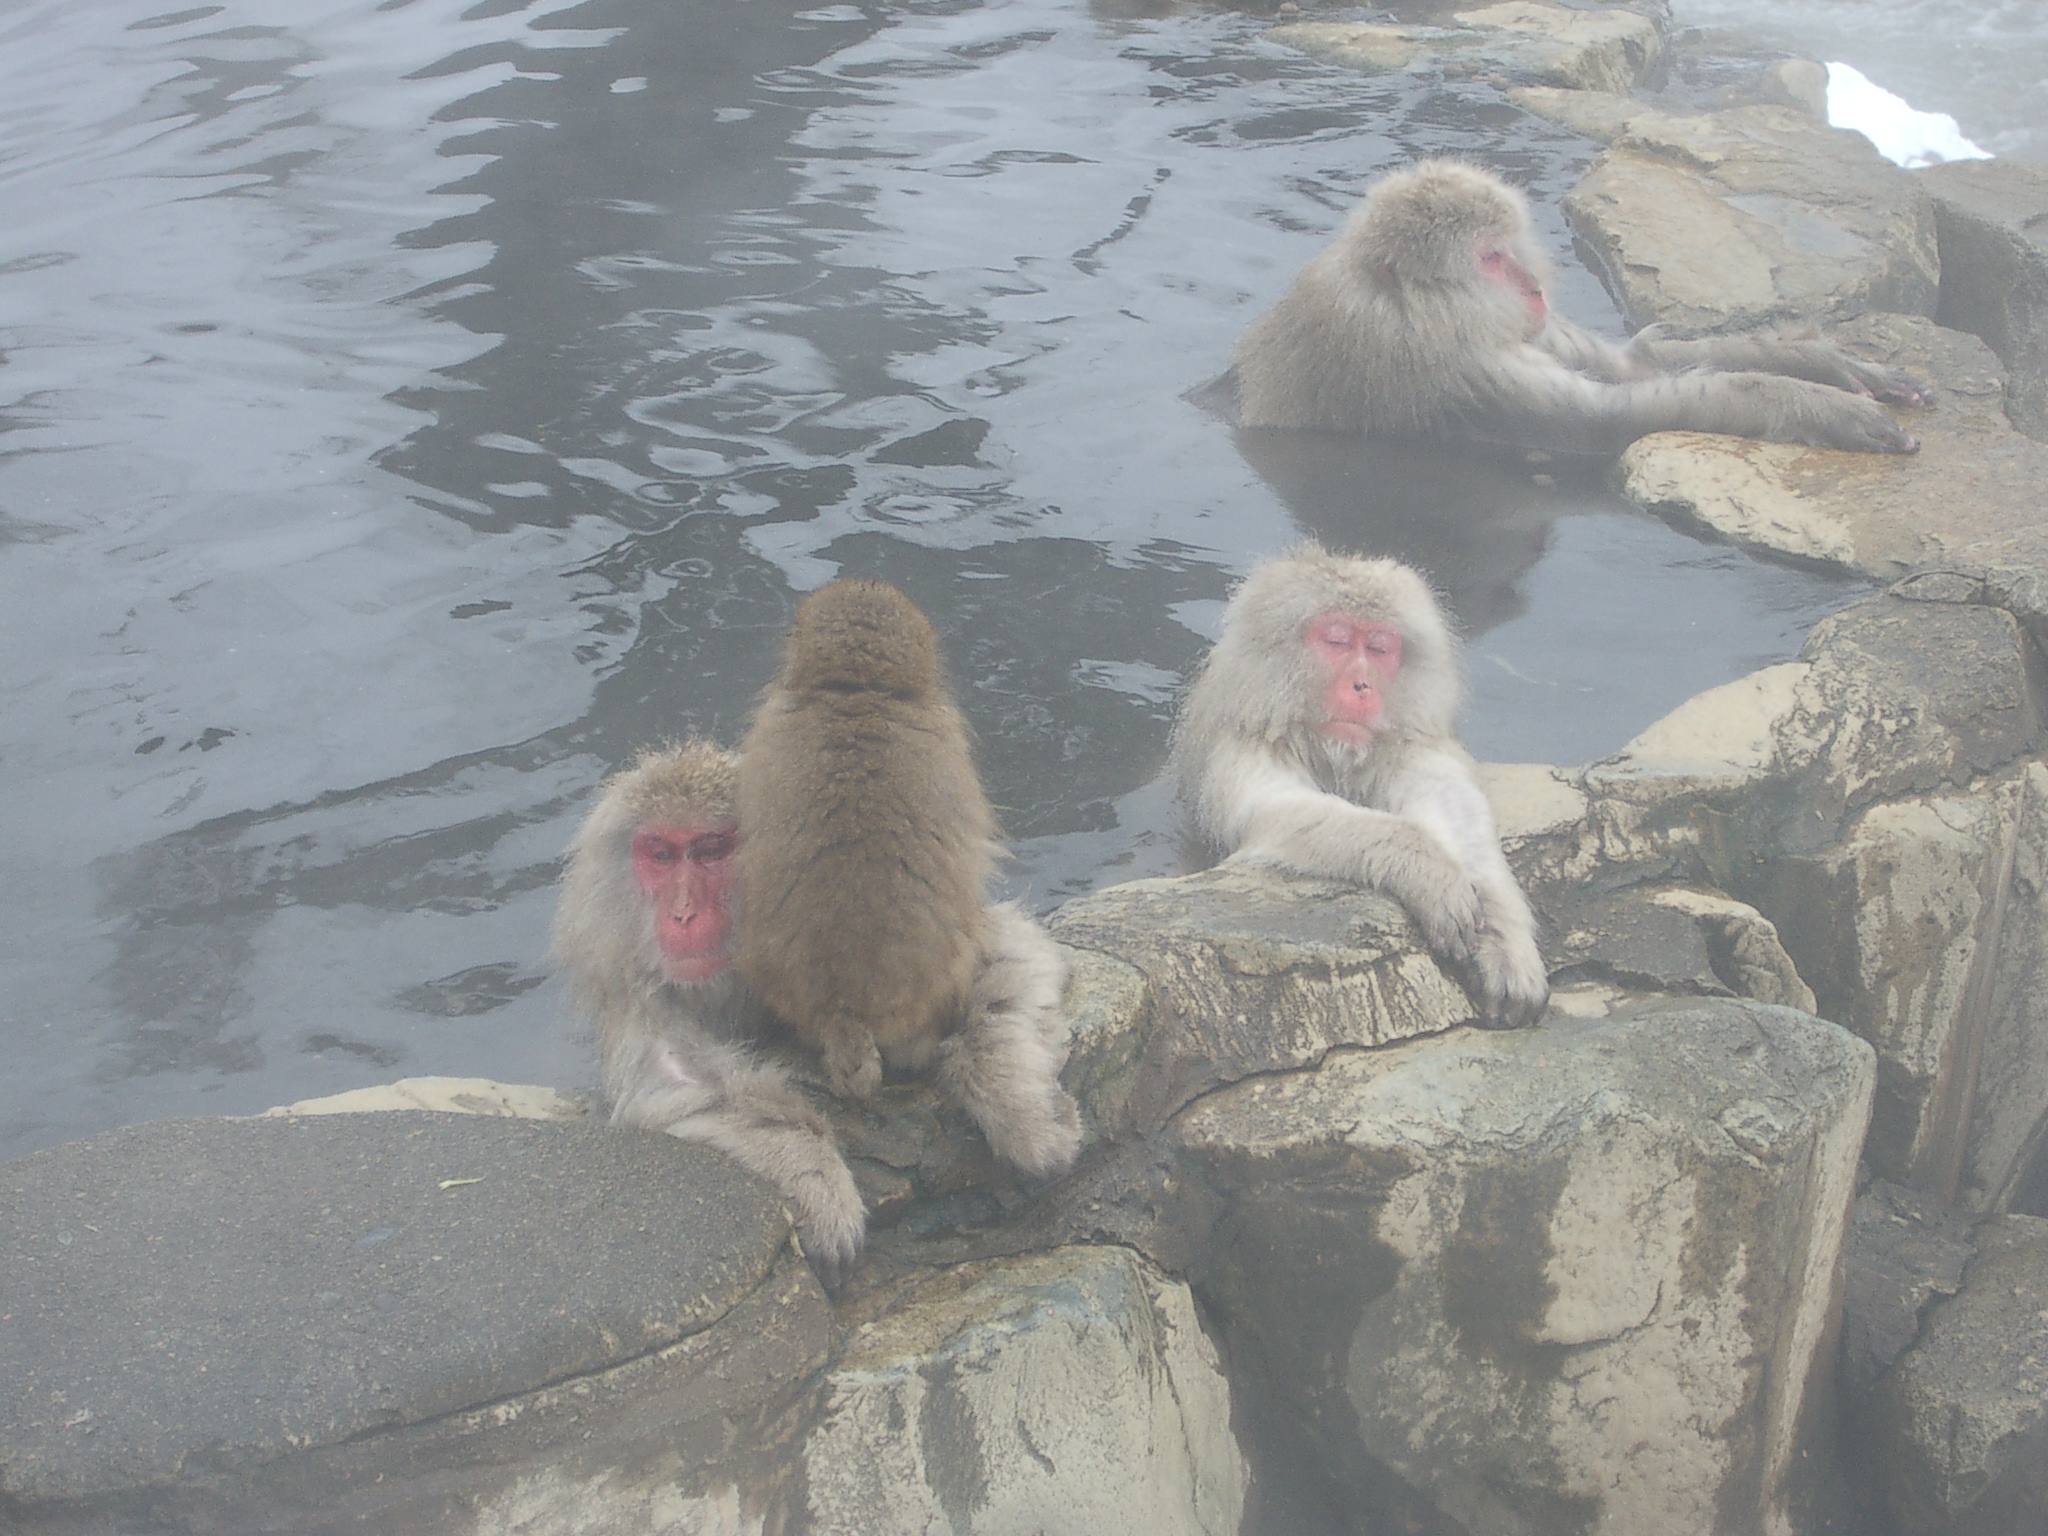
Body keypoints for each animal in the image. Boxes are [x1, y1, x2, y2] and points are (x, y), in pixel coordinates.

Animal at [552, 741, 1081, 1294]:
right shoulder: (645, 1002)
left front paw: (1021, 1107)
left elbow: (1000, 953)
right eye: (660, 855)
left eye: (710, 851)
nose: (681, 913)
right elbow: (667, 1091)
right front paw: (814, 1174)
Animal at [1228, 158, 1933, 456]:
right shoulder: (1451, 372)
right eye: (1489, 258)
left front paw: (1823, 363)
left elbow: (1635, 365)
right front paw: (1814, 405)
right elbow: (1612, 421)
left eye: (1509, 244)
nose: (1534, 288)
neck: (1427, 315)